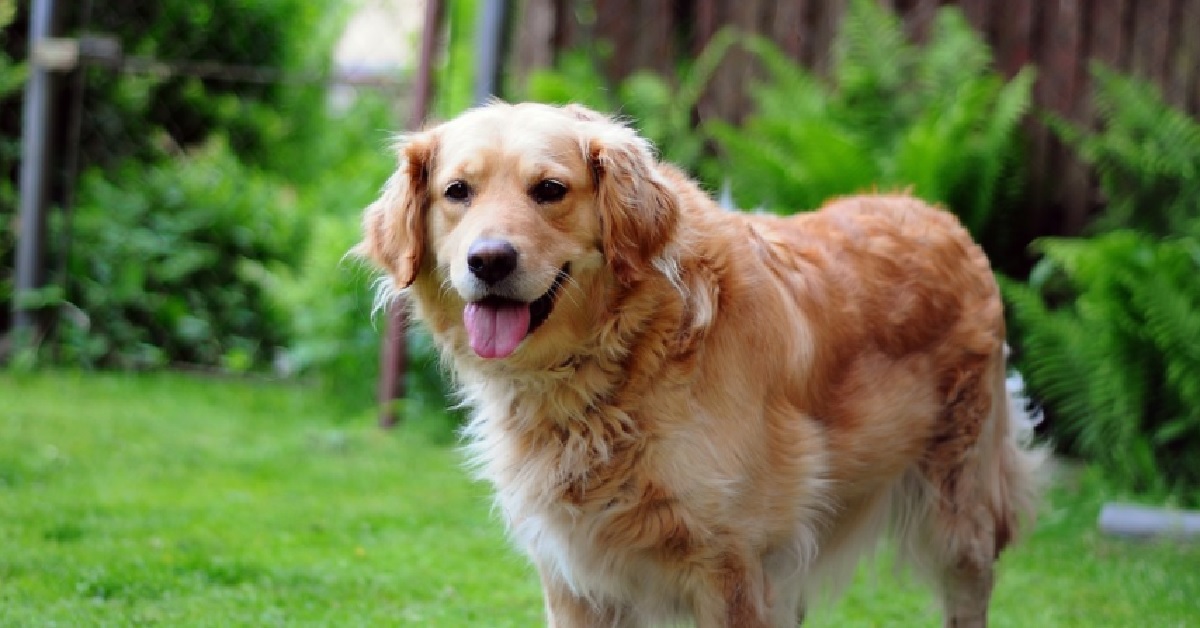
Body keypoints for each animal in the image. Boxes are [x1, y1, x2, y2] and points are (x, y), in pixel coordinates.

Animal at [355, 100, 1041, 624]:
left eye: (549, 190)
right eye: (457, 192)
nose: (489, 261)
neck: (623, 361)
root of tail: (937, 214)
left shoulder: (730, 567)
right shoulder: (575, 576)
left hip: (961, 515)